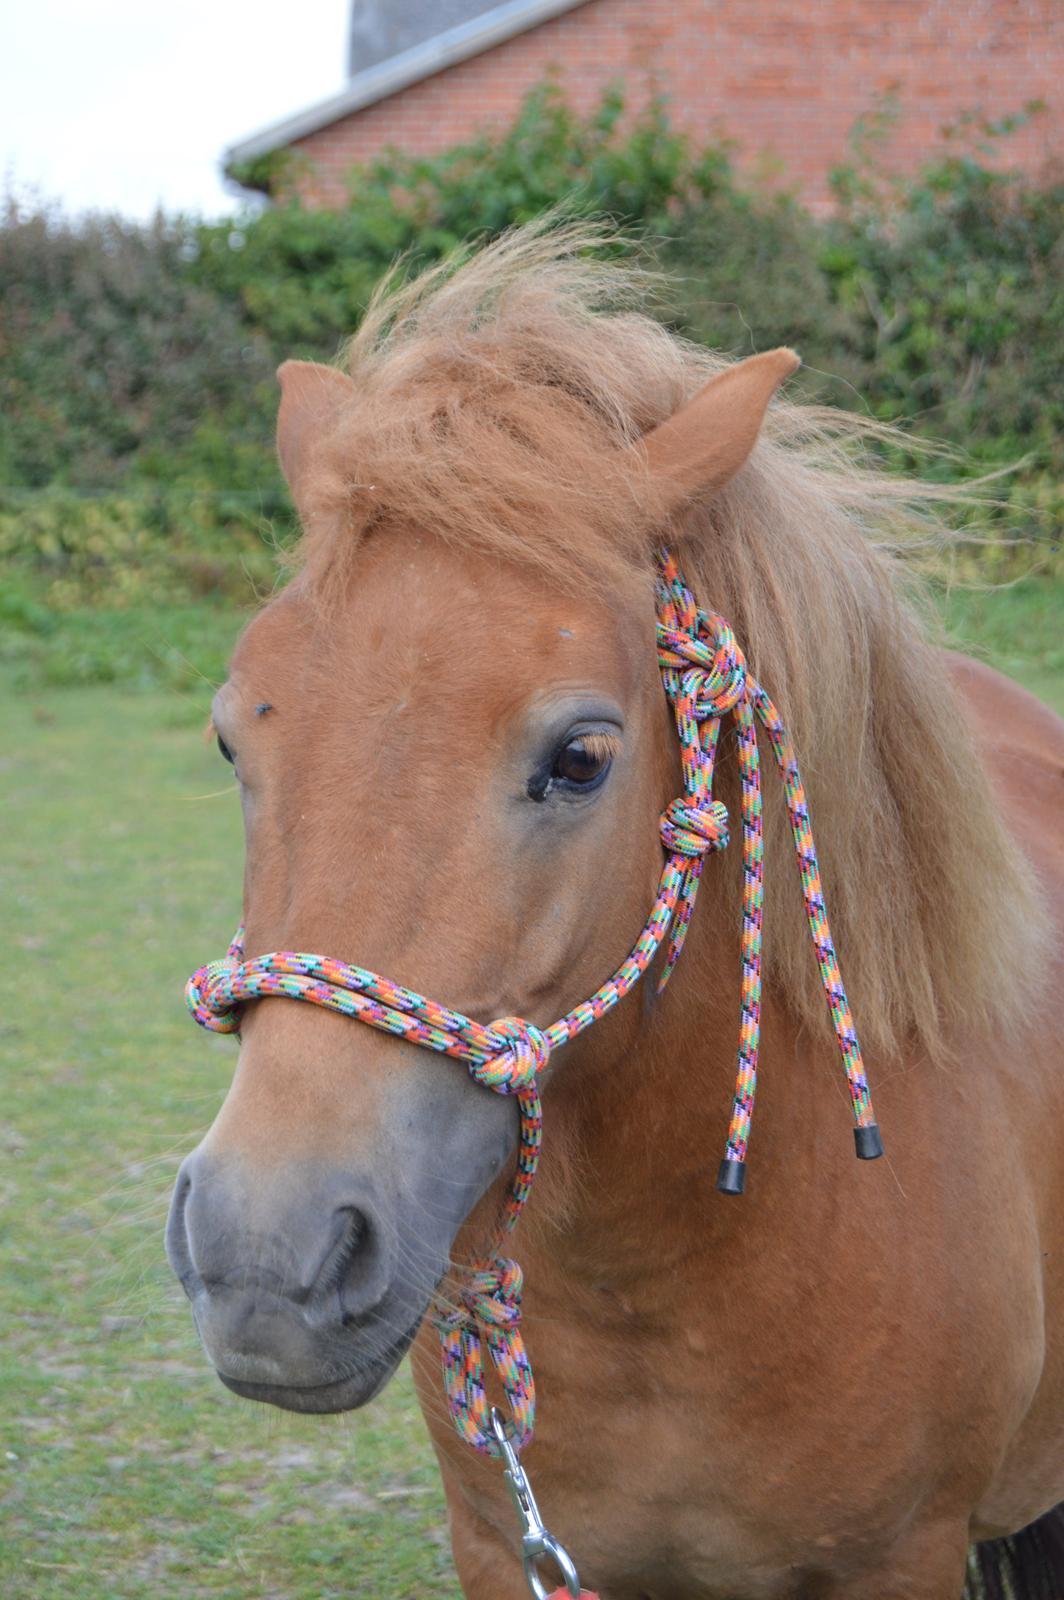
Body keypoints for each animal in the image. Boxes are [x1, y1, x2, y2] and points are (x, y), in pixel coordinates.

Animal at [168, 232, 1062, 1593]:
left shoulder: (898, 1558)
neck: (666, 1279)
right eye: (232, 738)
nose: (266, 1256)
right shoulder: (510, 1546)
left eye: (581, 756)